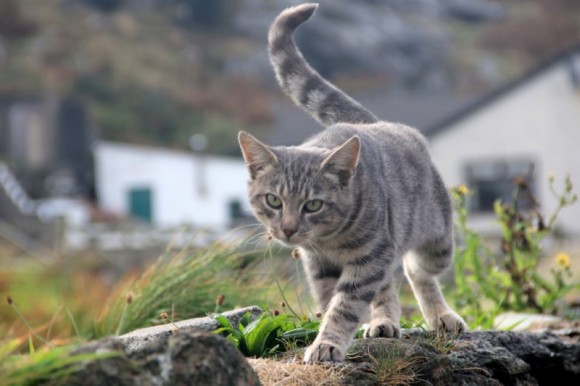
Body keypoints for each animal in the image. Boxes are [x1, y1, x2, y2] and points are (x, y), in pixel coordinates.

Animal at [236, 3, 466, 364]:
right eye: (273, 200)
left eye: (313, 204)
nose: (287, 229)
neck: (331, 240)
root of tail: (371, 122)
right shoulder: (320, 265)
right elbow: (333, 299)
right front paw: (337, 334)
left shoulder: (371, 255)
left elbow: (345, 305)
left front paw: (327, 343)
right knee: (389, 286)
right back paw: (384, 321)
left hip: (437, 242)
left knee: (418, 271)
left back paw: (440, 316)